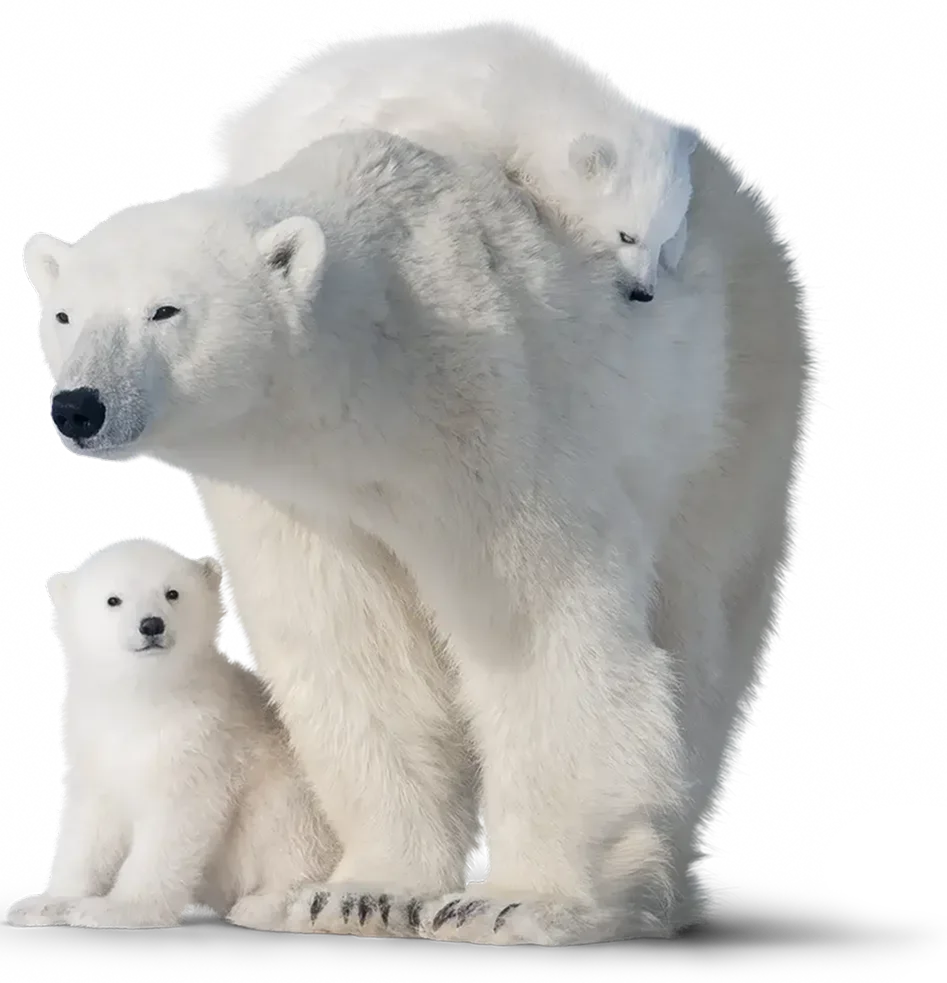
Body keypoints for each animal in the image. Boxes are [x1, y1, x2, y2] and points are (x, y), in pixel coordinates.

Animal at [5, 536, 340, 930]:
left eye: (172, 593)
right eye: (113, 599)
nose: (151, 625)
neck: (145, 698)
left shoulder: (200, 740)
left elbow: (174, 824)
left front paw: (115, 909)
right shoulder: (90, 739)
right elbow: (86, 827)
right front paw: (42, 904)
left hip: (291, 792)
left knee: (291, 833)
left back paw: (265, 905)